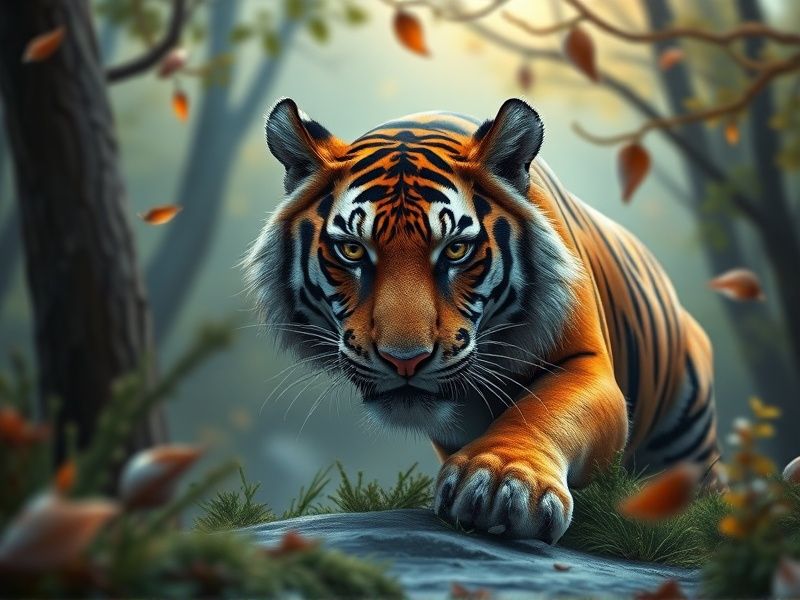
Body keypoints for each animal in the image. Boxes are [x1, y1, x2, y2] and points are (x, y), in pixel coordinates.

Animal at [244, 97, 720, 544]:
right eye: (353, 250)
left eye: (455, 249)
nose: (404, 360)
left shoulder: (588, 363)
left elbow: (543, 410)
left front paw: (501, 483)